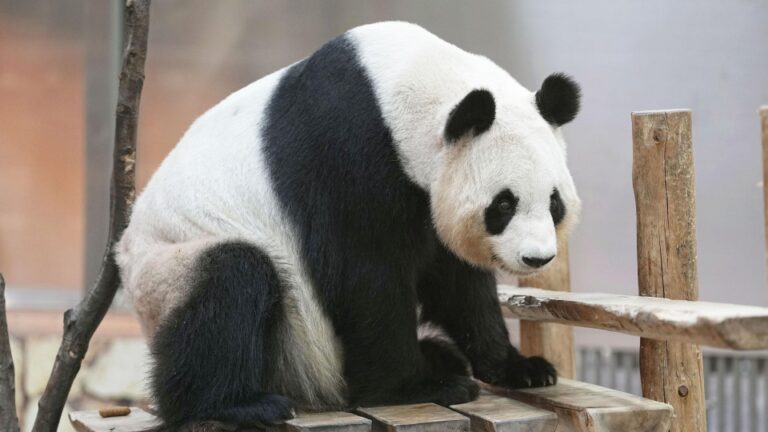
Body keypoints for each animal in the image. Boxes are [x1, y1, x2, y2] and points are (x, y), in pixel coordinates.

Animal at [116, 21, 581, 430]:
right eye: (503, 204)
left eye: (554, 202)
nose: (537, 257)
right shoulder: (348, 153)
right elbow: (365, 274)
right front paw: (415, 387)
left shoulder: (422, 190)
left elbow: (457, 282)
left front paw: (521, 368)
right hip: (171, 267)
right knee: (229, 286)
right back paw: (238, 403)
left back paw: (440, 355)